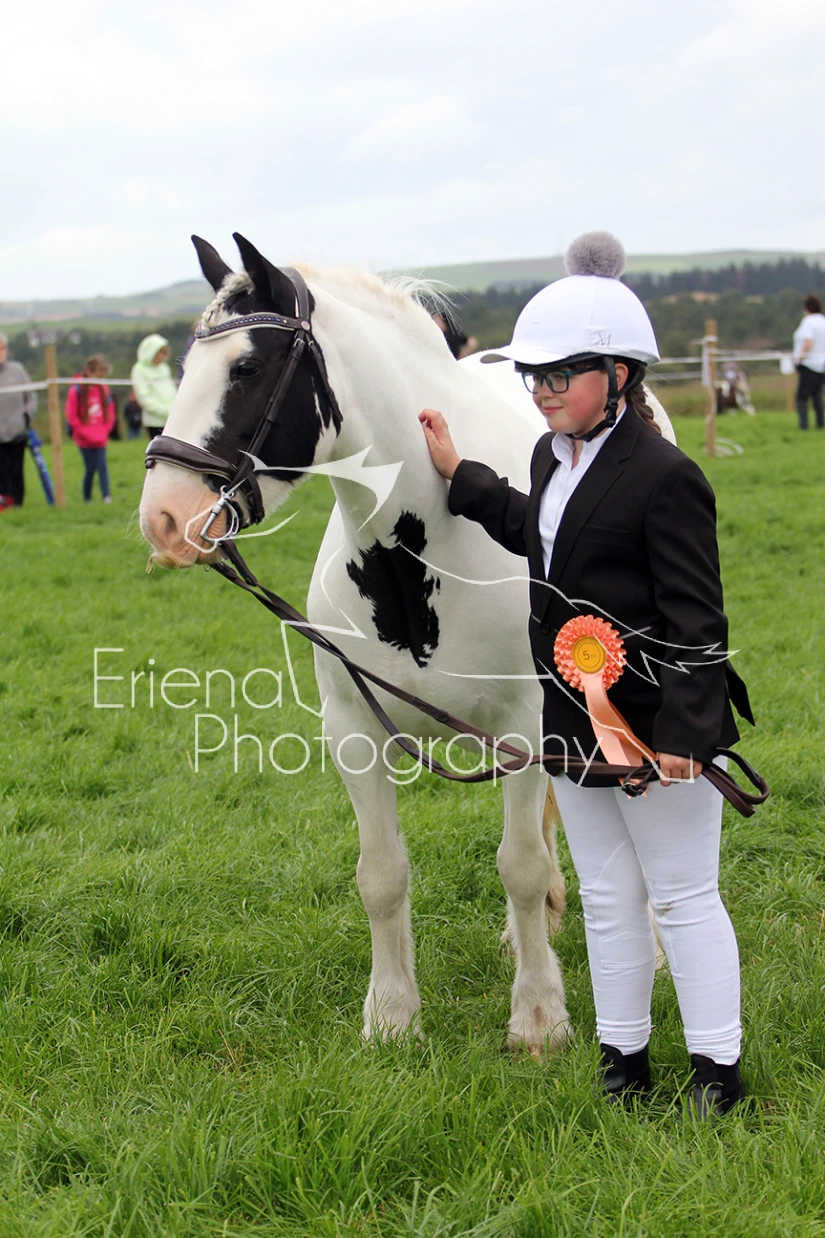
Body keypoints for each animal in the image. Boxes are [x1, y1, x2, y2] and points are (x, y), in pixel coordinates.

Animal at [140, 234, 674, 1051]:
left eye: (248, 369)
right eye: (184, 367)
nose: (164, 519)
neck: (416, 551)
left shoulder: (527, 725)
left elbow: (518, 864)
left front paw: (538, 1018)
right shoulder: (356, 732)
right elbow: (382, 875)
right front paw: (391, 1016)